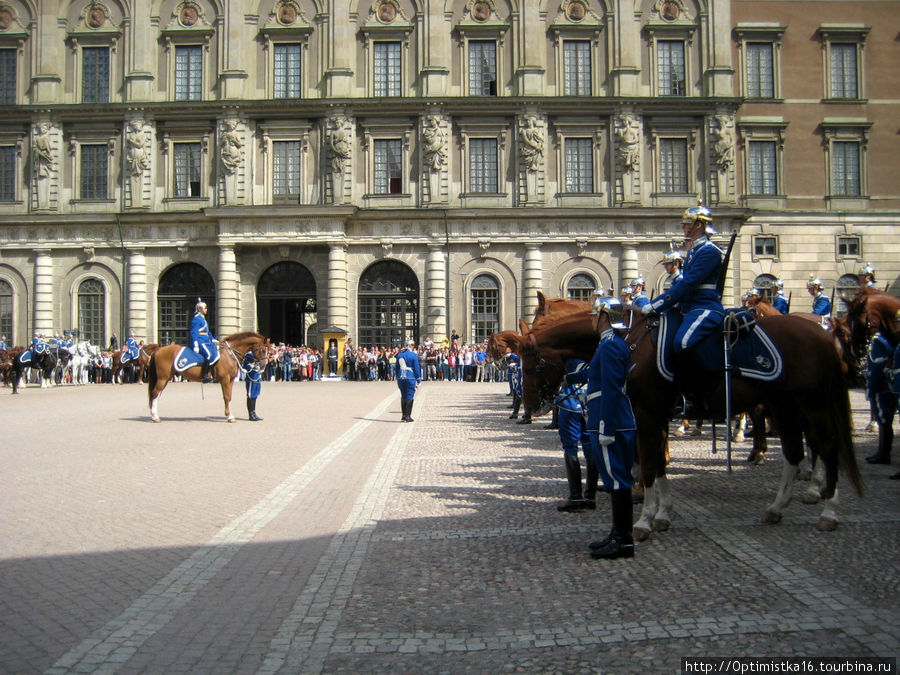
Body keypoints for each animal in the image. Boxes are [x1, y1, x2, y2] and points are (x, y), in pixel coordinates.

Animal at [510, 308, 860, 536]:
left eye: (530, 365)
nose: (533, 407)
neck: (628, 341)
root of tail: (821, 333)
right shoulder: (652, 417)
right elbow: (659, 463)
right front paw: (663, 514)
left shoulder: (646, 414)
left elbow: (650, 464)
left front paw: (643, 521)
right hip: (783, 405)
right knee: (793, 452)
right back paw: (777, 507)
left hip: (811, 404)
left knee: (827, 447)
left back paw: (828, 509)